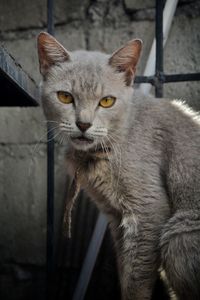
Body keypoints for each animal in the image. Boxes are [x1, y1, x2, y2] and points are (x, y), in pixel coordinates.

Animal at [37, 32, 200, 300]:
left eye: (106, 101)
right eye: (65, 97)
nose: (83, 124)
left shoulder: (148, 212)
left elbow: (137, 280)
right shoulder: (115, 217)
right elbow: (125, 271)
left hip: (178, 237)